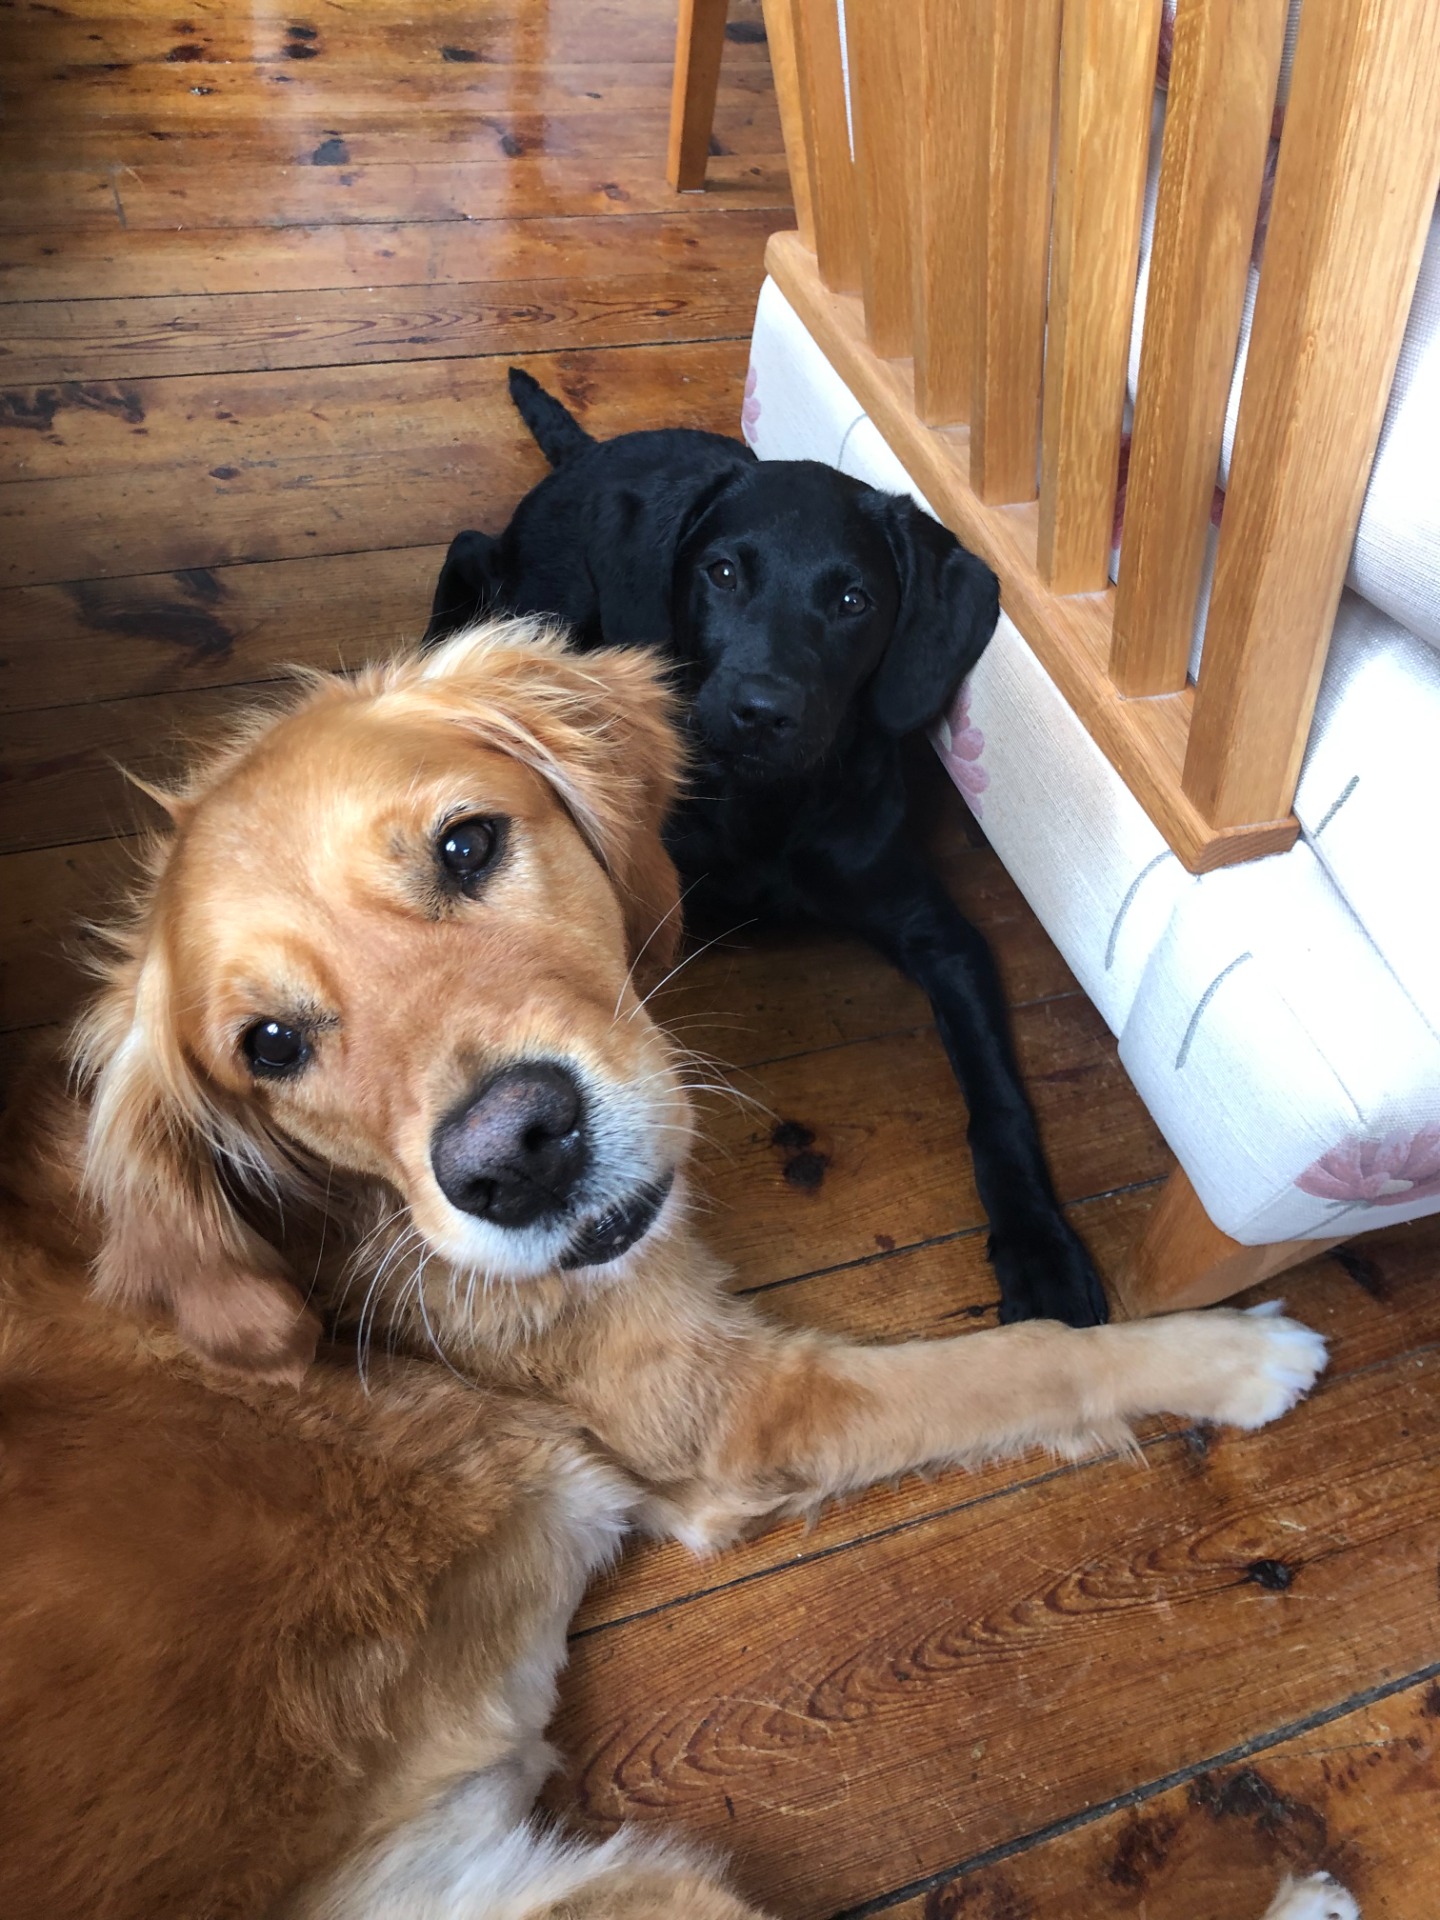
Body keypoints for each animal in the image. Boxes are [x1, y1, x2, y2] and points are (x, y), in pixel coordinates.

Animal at [0, 621, 1333, 1918]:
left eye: (467, 844)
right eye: (269, 1045)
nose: (514, 1156)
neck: (334, 1233)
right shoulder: (739, 1412)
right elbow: (1036, 1358)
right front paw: (1236, 1355)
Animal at [425, 370, 1109, 1330]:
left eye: (855, 601)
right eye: (721, 573)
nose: (760, 709)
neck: (765, 808)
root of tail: (594, 450)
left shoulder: (941, 935)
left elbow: (999, 1099)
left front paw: (1038, 1244)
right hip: (539, 599)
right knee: (472, 553)